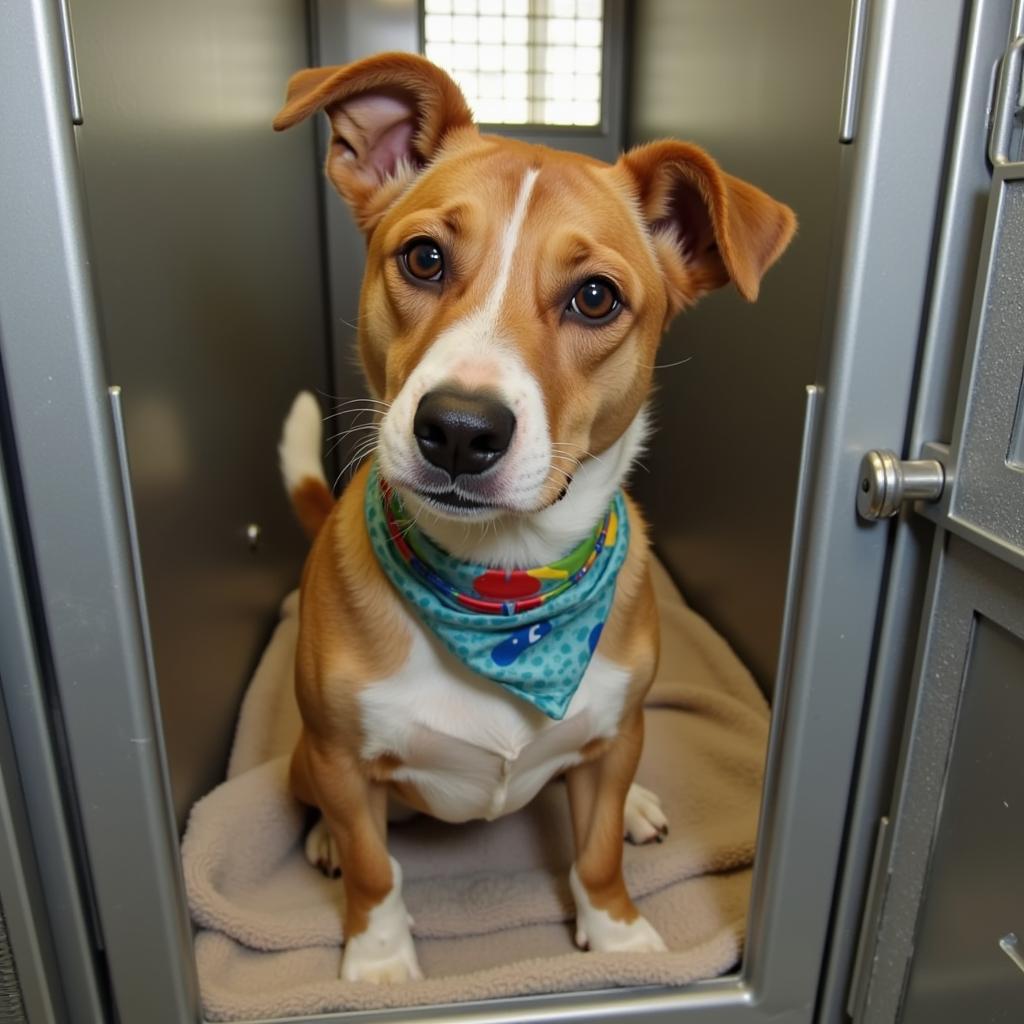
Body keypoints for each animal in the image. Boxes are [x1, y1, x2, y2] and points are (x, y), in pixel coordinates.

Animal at [270, 51, 790, 978]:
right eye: (425, 258)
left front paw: (618, 937)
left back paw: (637, 806)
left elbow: (596, 852)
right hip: (303, 761)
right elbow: (375, 866)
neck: (506, 580)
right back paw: (323, 842)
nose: (458, 429)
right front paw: (378, 962)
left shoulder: (617, 733)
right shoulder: (339, 755)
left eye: (595, 298)